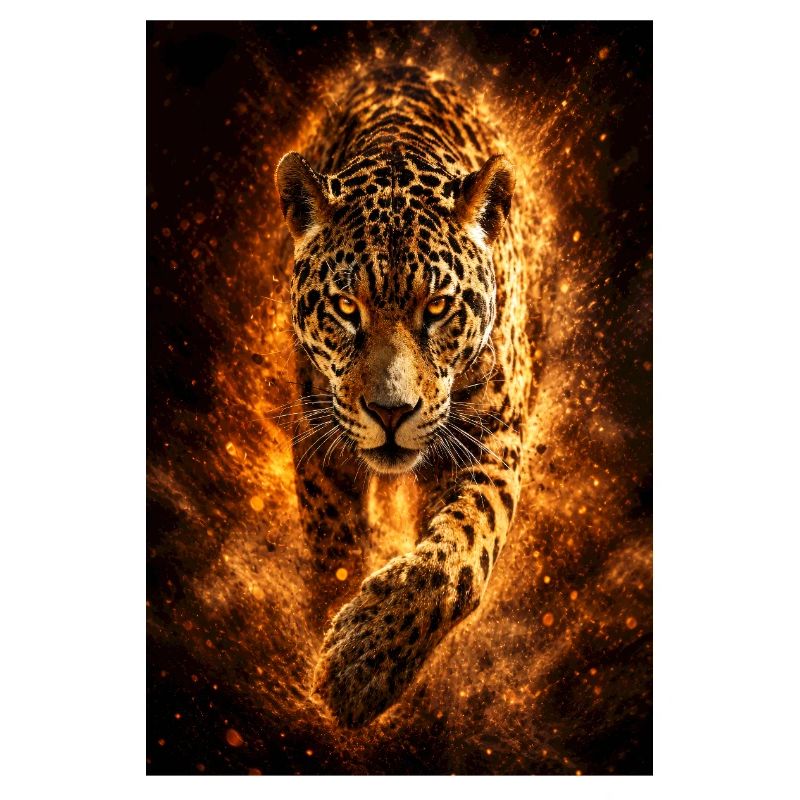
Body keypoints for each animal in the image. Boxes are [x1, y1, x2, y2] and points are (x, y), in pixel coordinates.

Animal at [274, 64, 546, 728]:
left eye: (439, 307)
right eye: (347, 308)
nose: (391, 412)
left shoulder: (494, 437)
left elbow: (456, 557)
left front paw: (361, 662)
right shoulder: (320, 434)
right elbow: (333, 544)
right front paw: (331, 618)